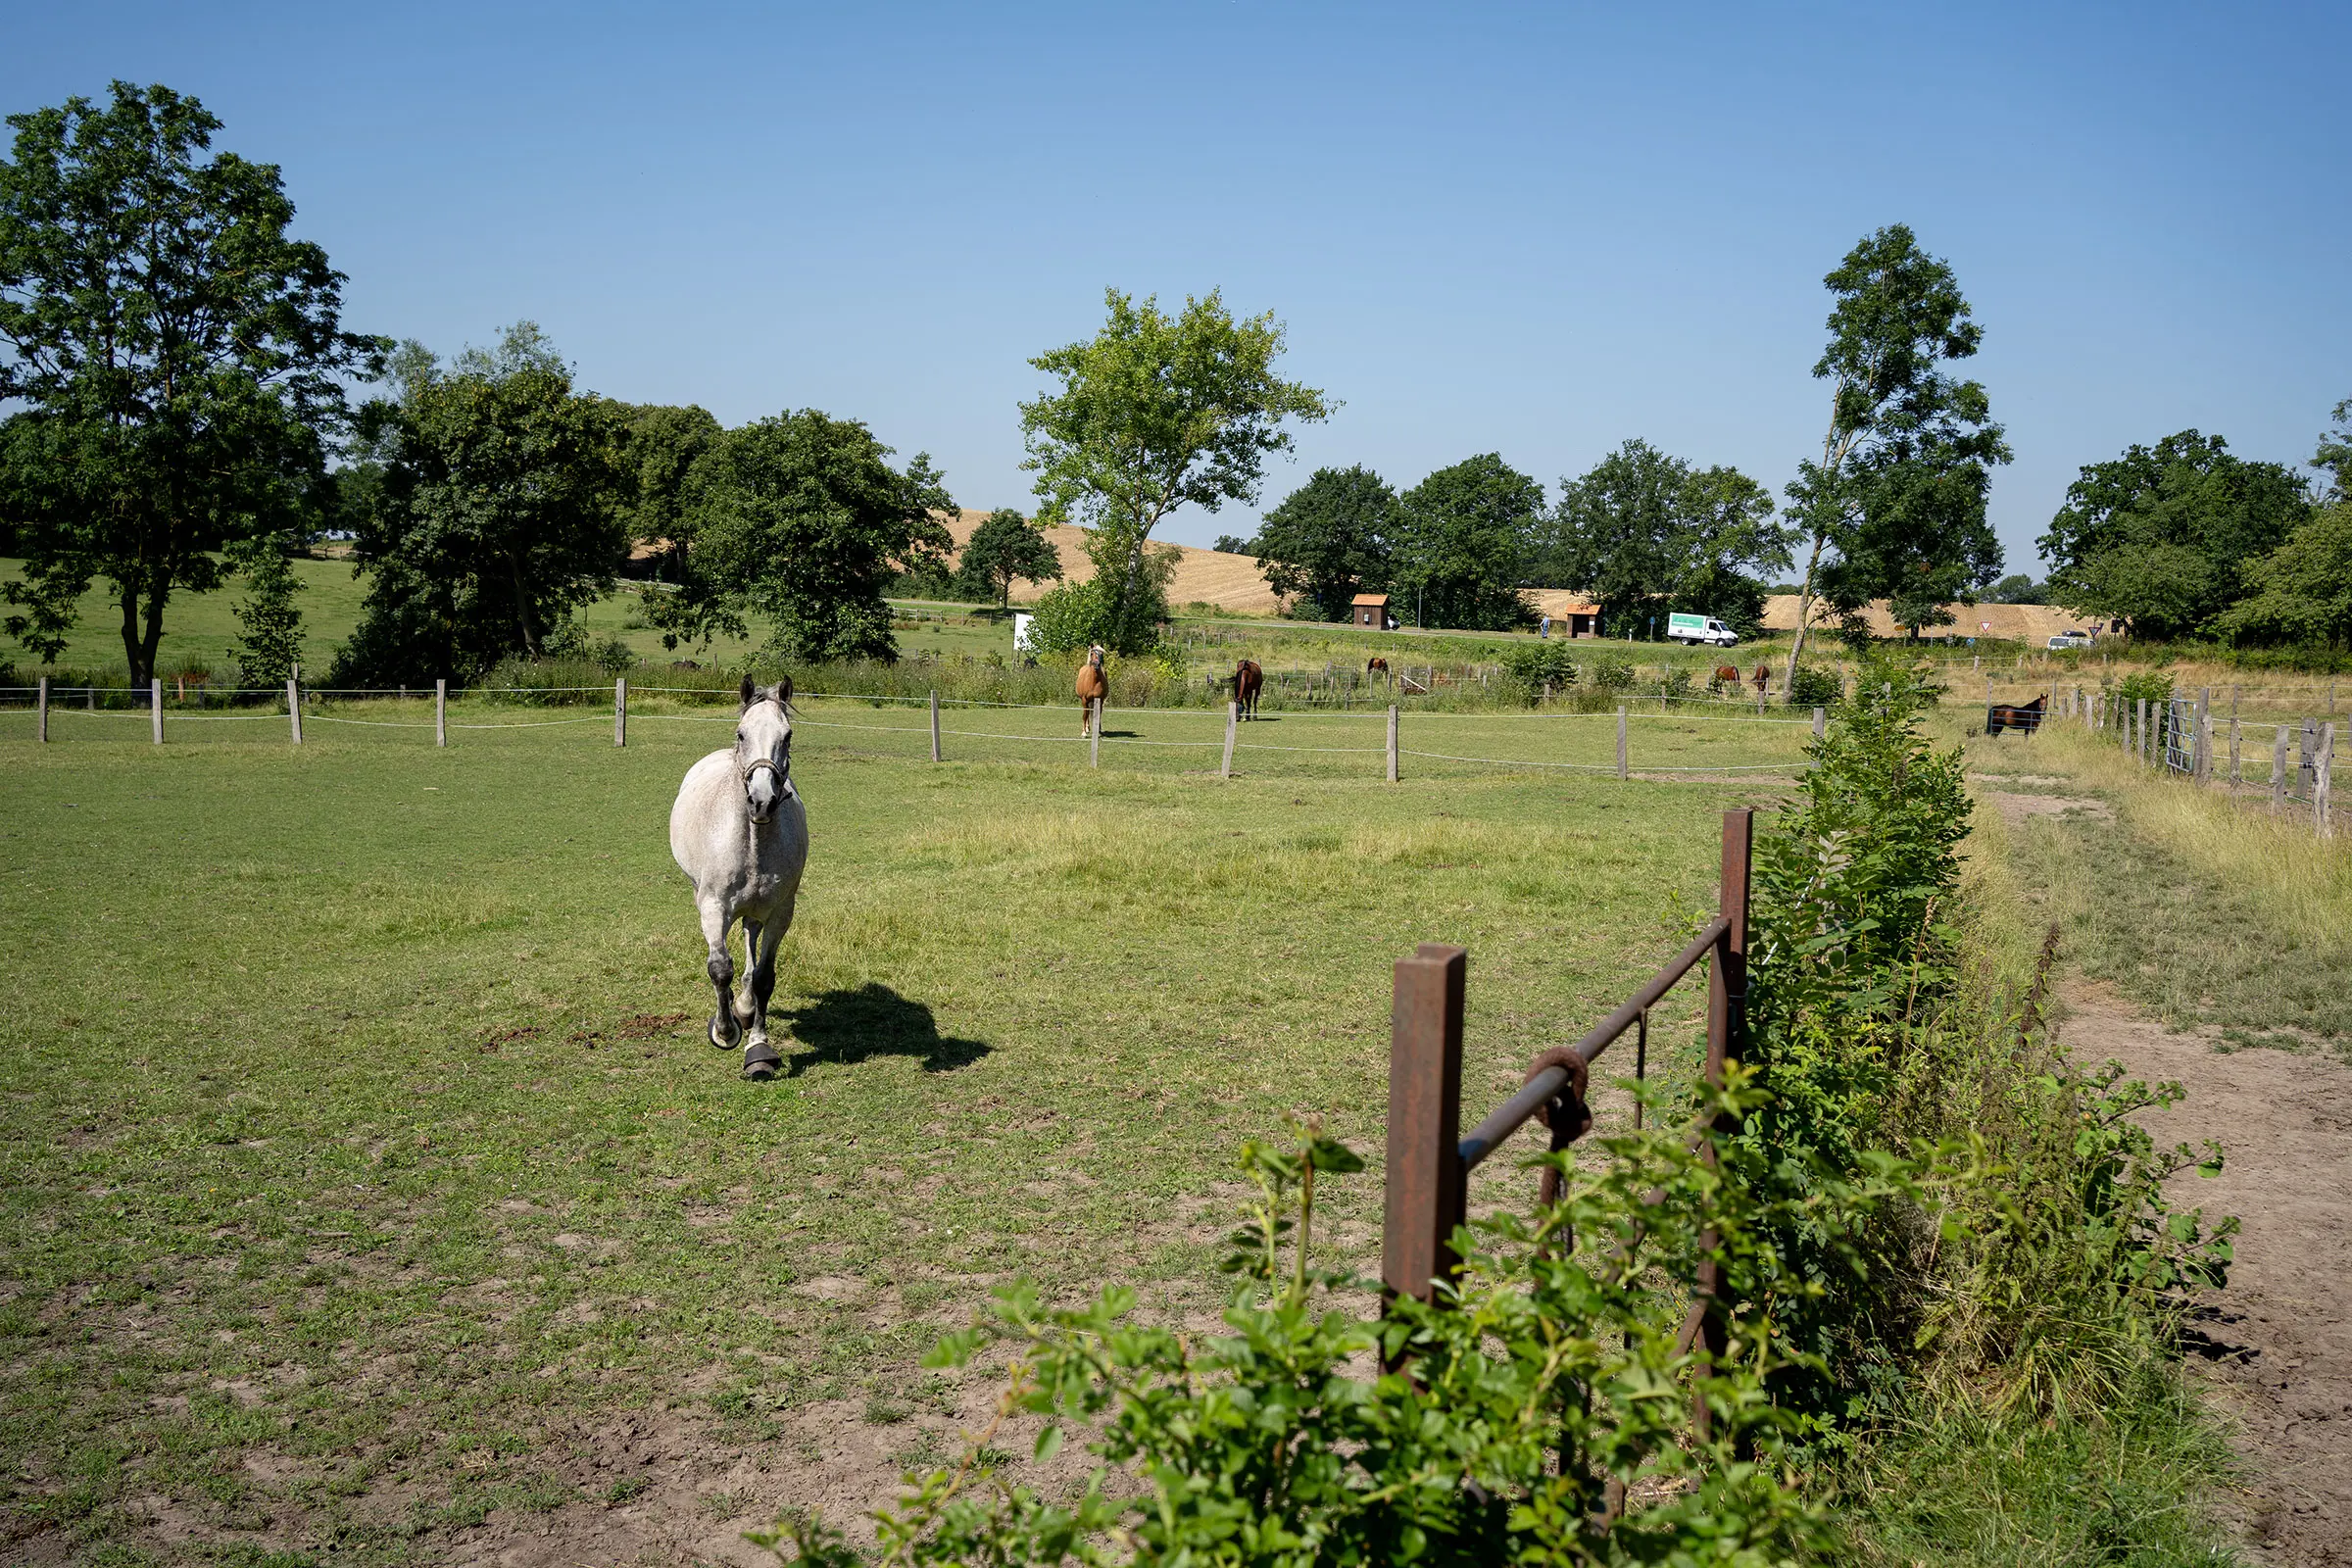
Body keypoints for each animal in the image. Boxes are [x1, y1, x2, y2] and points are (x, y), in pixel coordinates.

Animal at [669, 677, 810, 1081]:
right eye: (742, 733)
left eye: (787, 735)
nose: (761, 801)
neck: (752, 841)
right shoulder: (714, 907)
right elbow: (719, 969)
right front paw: (725, 1031)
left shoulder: (780, 913)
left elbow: (764, 977)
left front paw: (758, 1047)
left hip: (756, 908)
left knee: (749, 934)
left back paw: (744, 1007)